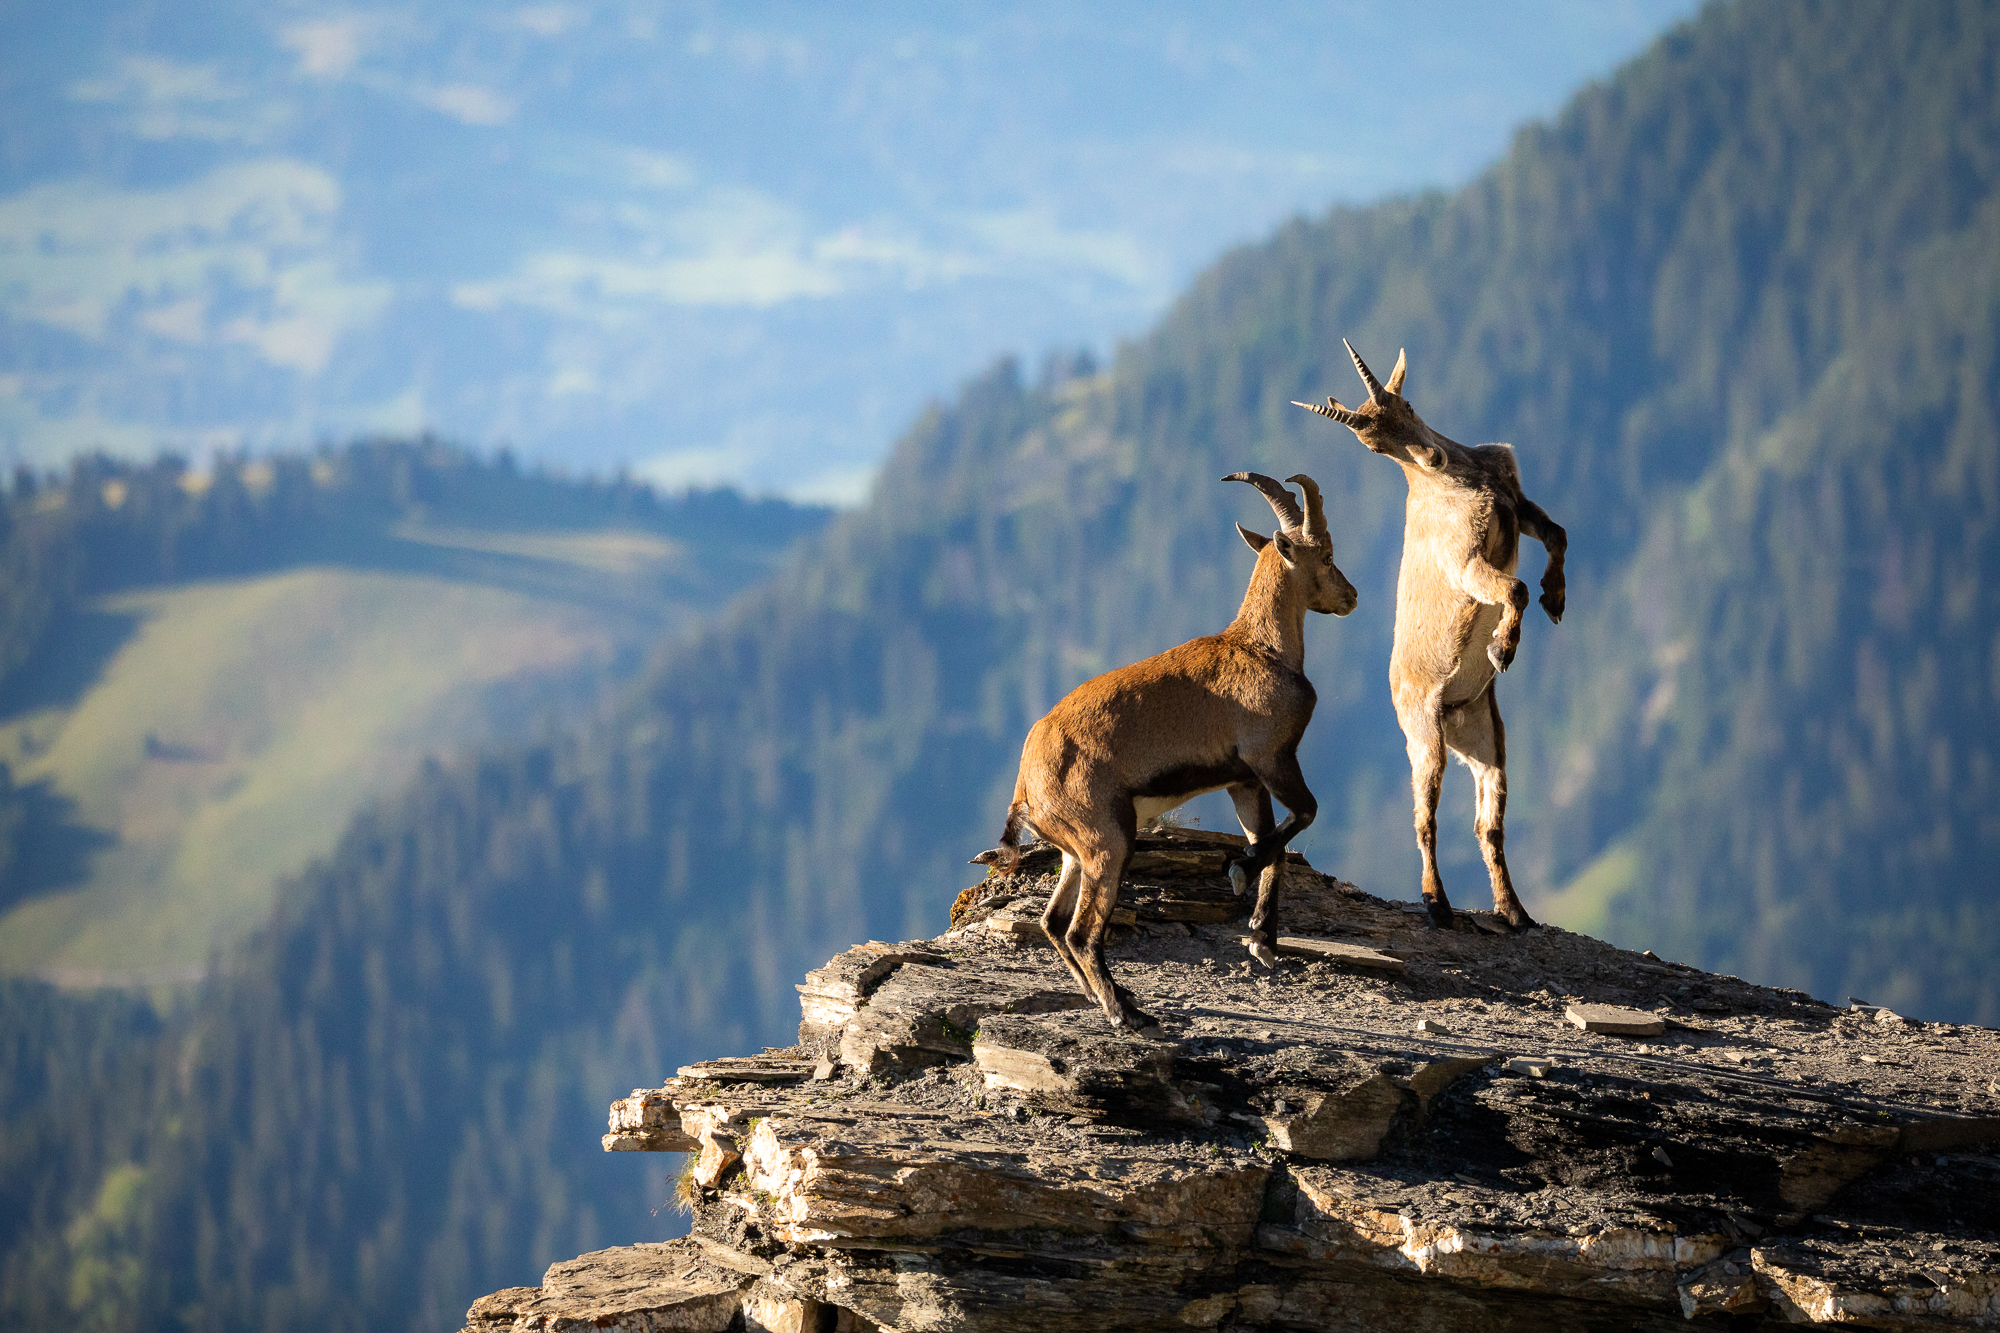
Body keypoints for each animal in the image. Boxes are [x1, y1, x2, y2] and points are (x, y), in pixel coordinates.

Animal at [972, 472, 1360, 1032]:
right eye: (1327, 556)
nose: (1351, 596)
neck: (1262, 649)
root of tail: (1026, 787)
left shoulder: (1244, 779)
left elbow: (1274, 845)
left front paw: (1262, 939)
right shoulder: (1272, 757)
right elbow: (1304, 815)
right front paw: (1240, 874)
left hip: (1074, 852)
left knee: (1051, 922)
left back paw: (1110, 997)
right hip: (1108, 839)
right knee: (1080, 931)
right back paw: (1125, 1013)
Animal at [1296, 338, 1560, 928]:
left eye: (1407, 405)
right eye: (1373, 444)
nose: (1432, 457)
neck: (1456, 479)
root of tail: (1451, 716)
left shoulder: (1517, 501)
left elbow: (1557, 534)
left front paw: (1556, 600)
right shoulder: (1463, 561)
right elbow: (1514, 589)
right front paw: (1501, 648)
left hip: (1488, 739)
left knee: (1488, 823)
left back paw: (1513, 911)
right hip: (1423, 736)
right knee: (1425, 817)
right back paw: (1437, 904)